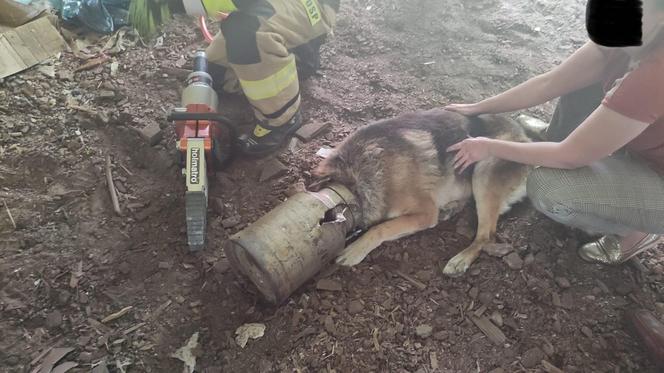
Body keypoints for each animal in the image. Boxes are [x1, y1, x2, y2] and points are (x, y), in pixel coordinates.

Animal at [312, 107, 540, 276]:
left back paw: (460, 260)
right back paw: (450, 209)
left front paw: (356, 249)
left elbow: (381, 228)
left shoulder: (426, 213)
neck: (358, 177)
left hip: (484, 168)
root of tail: (526, 138)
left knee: (487, 237)